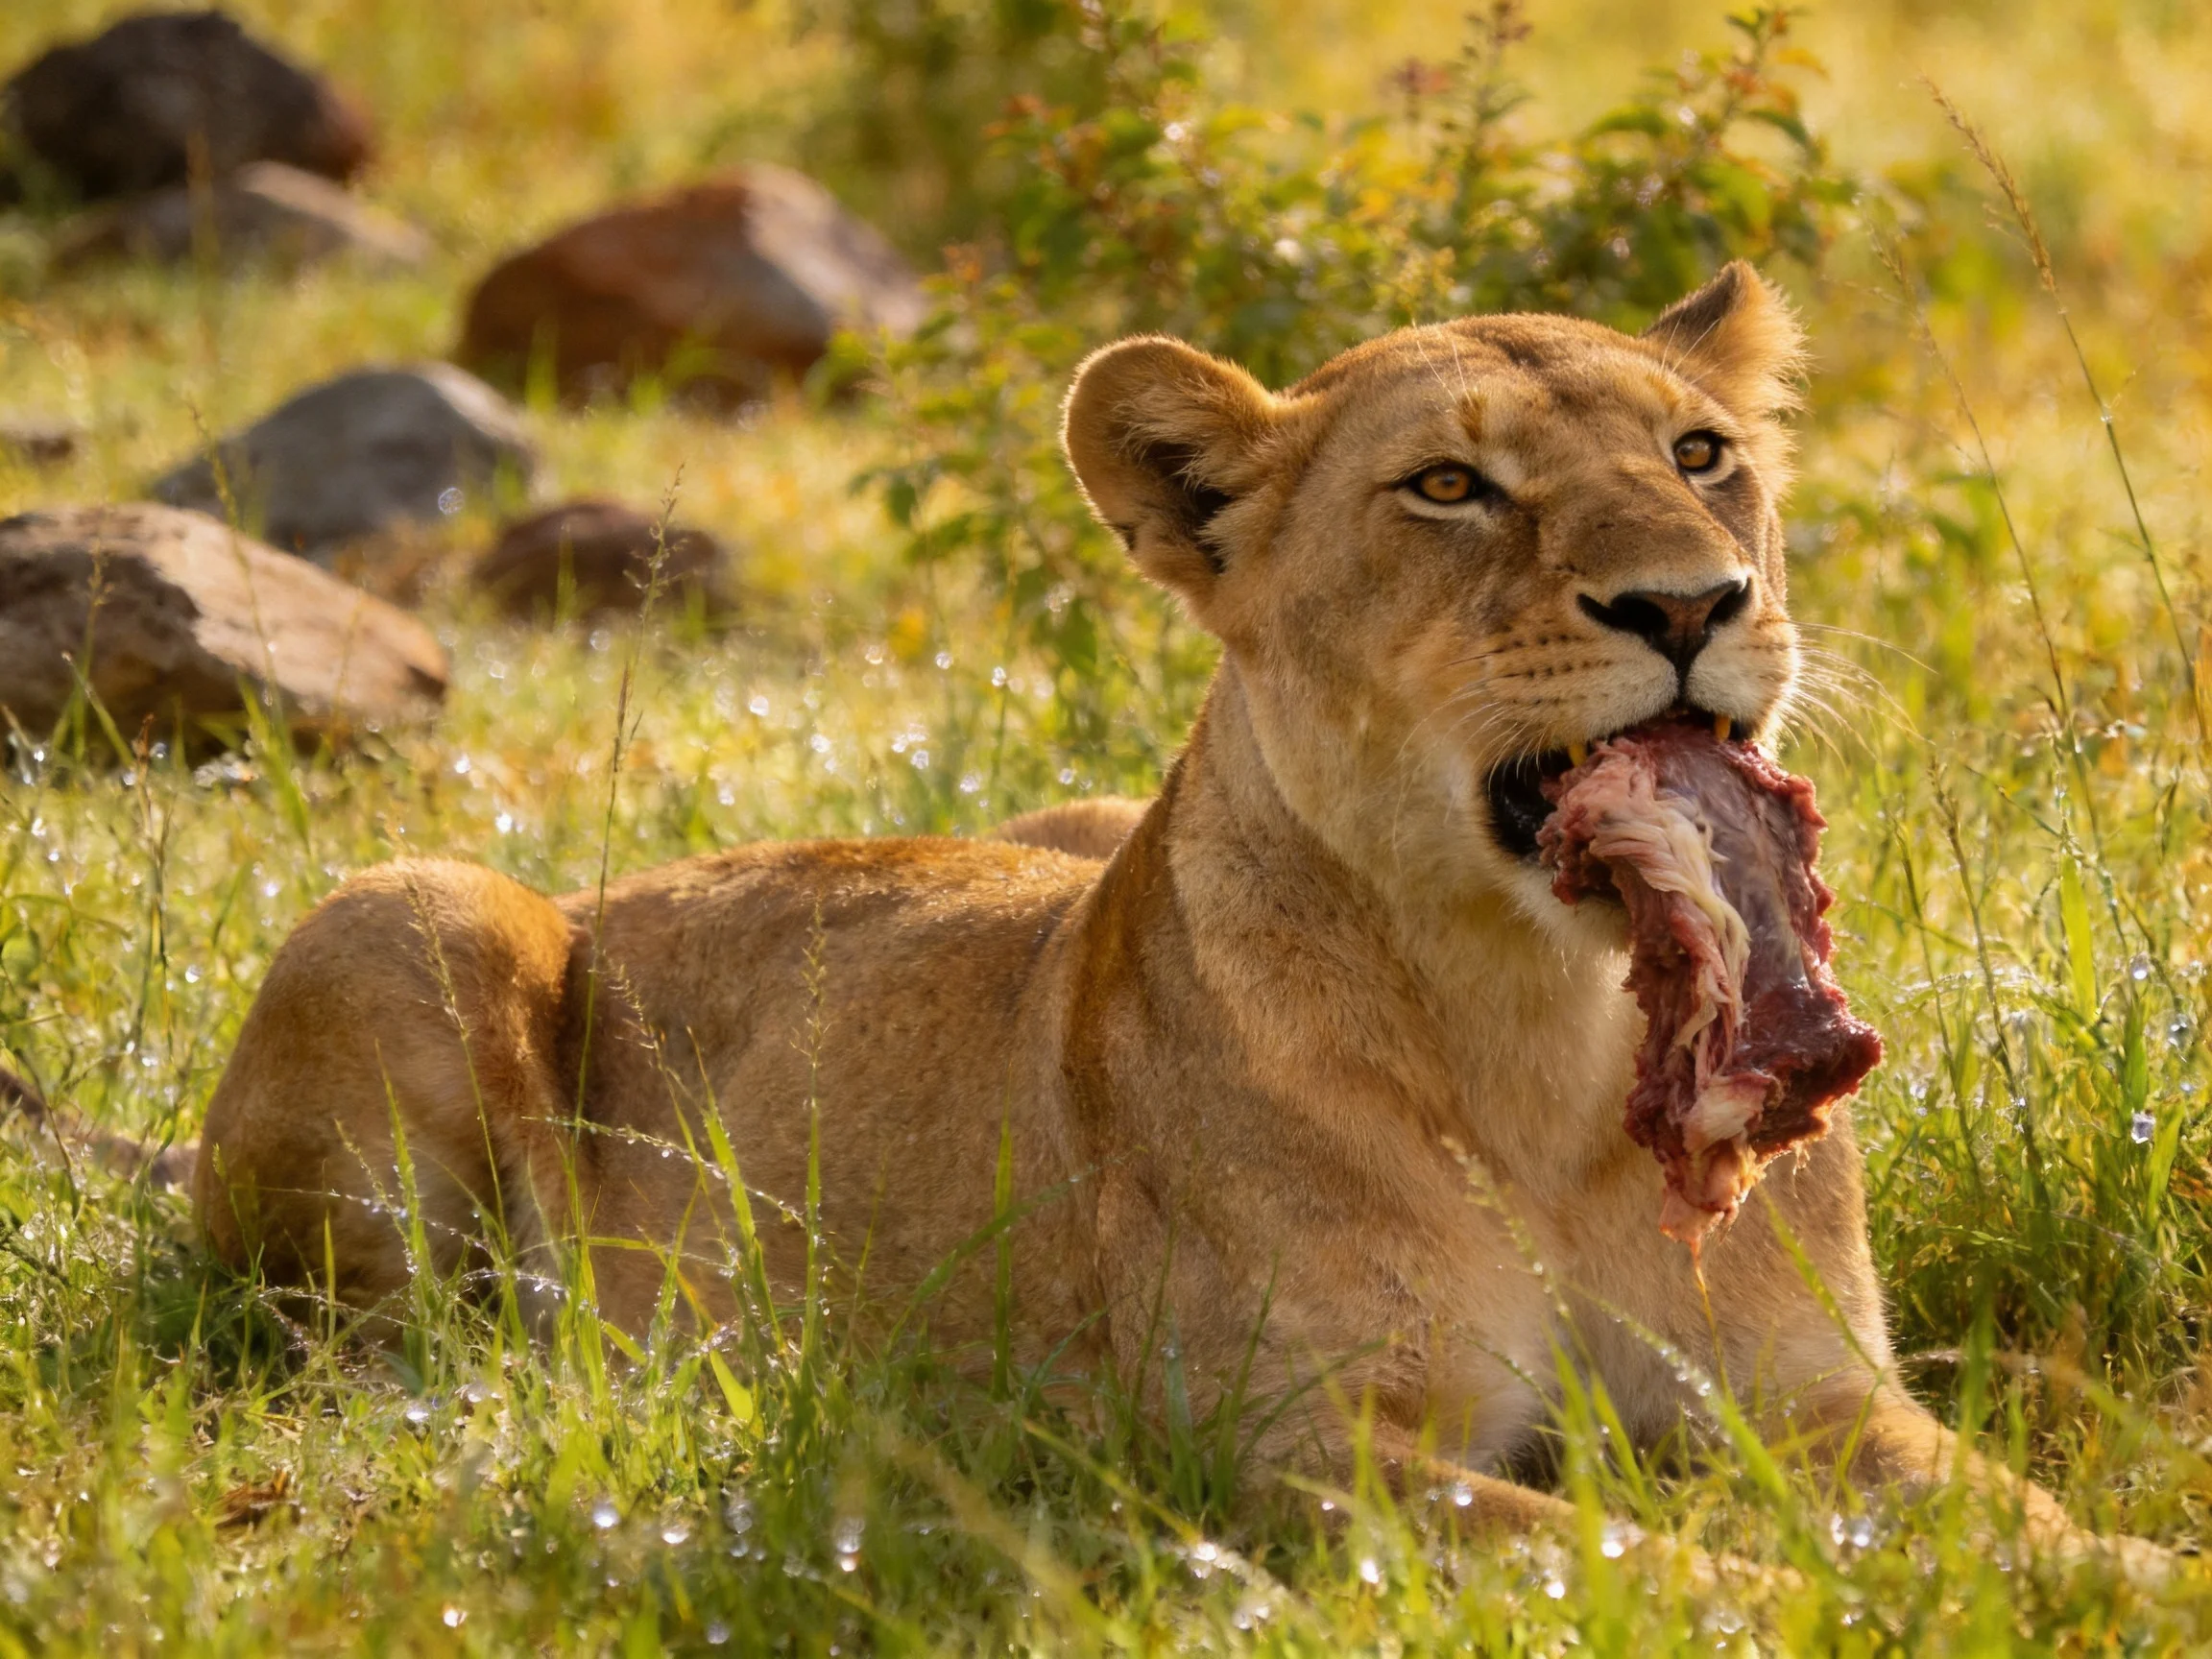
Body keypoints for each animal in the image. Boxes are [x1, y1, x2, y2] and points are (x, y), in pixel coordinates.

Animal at [186, 263, 2157, 1569]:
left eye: (1700, 454)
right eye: (1450, 487)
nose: (1692, 601)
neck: (1545, 1033)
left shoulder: (1815, 1403)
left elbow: (2024, 1517)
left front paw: (2126, 1580)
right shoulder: (1295, 1458)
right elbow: (1651, 1564)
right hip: (417, 913)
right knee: (365, 1340)